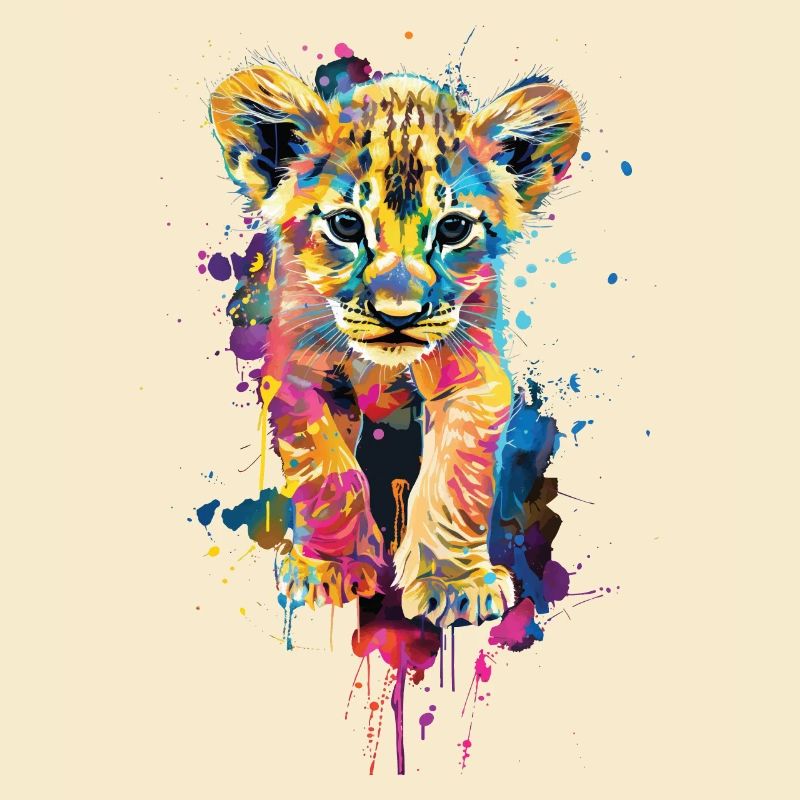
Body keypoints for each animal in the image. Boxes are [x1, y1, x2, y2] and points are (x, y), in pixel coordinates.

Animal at [209, 57, 580, 629]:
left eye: (453, 228)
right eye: (346, 225)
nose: (397, 315)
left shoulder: (474, 377)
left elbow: (456, 479)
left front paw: (455, 584)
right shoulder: (298, 373)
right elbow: (329, 477)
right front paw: (330, 568)